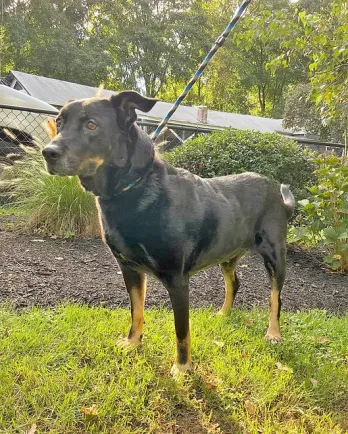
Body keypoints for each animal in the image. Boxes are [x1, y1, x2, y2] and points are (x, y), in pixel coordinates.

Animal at [42, 90, 294, 374]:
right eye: (59, 122)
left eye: (91, 125)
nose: (47, 152)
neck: (133, 188)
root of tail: (275, 191)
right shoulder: (129, 269)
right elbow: (136, 311)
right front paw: (133, 343)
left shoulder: (177, 279)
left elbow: (181, 330)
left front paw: (182, 369)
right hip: (227, 255)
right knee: (234, 283)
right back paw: (223, 314)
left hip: (275, 257)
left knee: (276, 298)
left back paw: (273, 333)